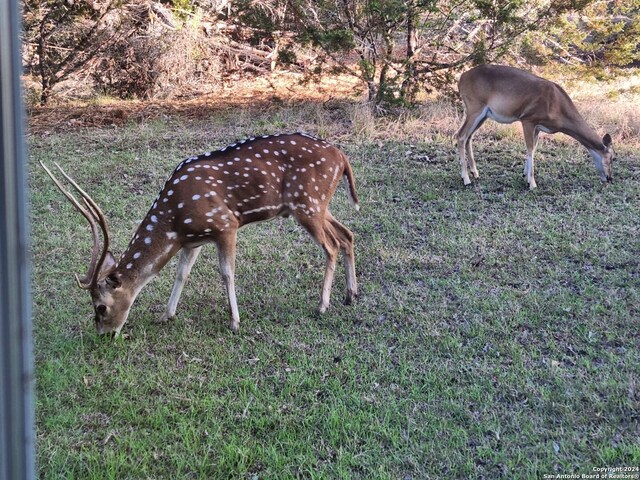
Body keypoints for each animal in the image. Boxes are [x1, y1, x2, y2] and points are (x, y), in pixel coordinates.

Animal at [42, 131, 358, 334]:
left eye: (101, 307)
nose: (103, 334)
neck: (174, 221)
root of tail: (342, 156)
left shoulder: (225, 224)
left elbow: (227, 272)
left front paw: (235, 322)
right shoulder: (193, 241)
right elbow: (182, 273)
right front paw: (165, 315)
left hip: (307, 203)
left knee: (331, 245)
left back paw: (322, 305)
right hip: (319, 205)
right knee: (347, 235)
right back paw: (350, 295)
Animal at [456, 64, 616, 188]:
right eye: (612, 158)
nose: (609, 178)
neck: (557, 106)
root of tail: (462, 78)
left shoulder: (538, 127)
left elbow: (534, 148)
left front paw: (525, 175)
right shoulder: (528, 119)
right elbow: (530, 148)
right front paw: (532, 183)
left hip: (483, 115)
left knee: (469, 136)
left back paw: (475, 173)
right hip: (475, 108)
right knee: (461, 135)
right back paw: (466, 179)